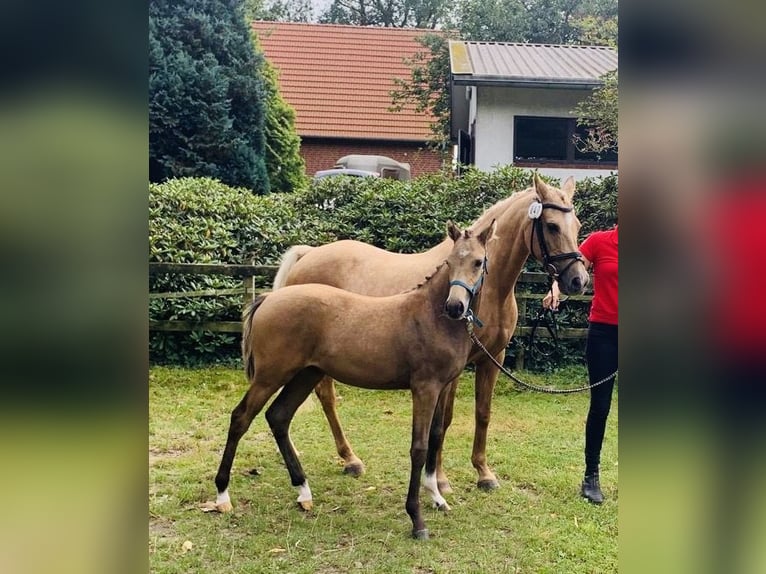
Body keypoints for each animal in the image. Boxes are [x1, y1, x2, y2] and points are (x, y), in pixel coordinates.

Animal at [212, 220, 498, 540]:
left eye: (478, 261)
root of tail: (268, 299)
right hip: (270, 376)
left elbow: (436, 436)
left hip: (306, 374)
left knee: (279, 416)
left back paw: (303, 491)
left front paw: (437, 498)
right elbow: (419, 447)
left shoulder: (442, 386)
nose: (455, 307)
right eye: (449, 262)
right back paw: (222, 496)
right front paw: (417, 520)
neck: (430, 318)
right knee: (241, 417)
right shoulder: (424, 388)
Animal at [272, 173, 592, 492]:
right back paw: (349, 459)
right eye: (551, 226)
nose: (578, 280)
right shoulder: (453, 369)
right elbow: (443, 420)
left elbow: (483, 413)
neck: (486, 290)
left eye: (577, 225)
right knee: (326, 397)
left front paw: (484, 473)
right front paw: (439, 478)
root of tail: (309, 255)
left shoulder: (492, 358)